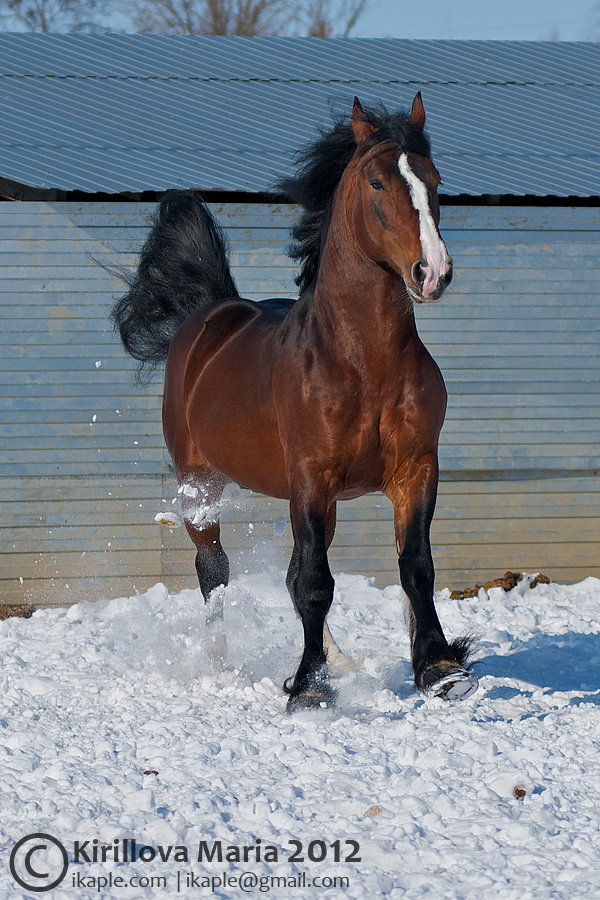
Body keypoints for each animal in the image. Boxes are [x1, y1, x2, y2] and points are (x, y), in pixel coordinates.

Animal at [112, 93, 478, 712]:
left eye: (434, 180)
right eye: (377, 182)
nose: (432, 273)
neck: (363, 362)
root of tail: (211, 315)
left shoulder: (415, 470)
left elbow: (415, 568)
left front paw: (439, 668)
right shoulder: (310, 476)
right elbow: (314, 584)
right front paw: (308, 689)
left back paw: (339, 661)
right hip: (201, 485)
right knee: (214, 571)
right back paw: (222, 665)